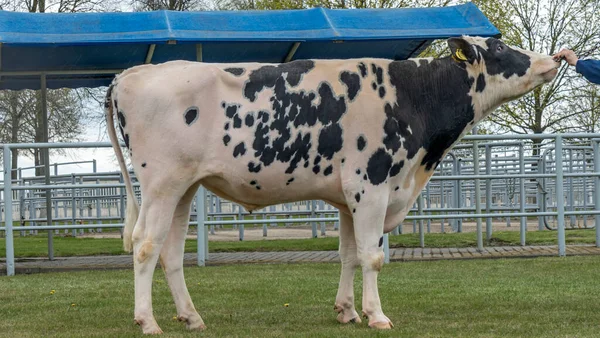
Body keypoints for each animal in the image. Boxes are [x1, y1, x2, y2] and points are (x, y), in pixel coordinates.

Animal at [105, 36, 560, 332]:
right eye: (499, 49)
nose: (554, 59)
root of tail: (132, 73)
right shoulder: (371, 185)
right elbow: (372, 256)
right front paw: (377, 316)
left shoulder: (347, 198)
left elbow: (348, 256)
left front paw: (347, 311)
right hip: (161, 182)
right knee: (145, 244)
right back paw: (148, 321)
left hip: (184, 187)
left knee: (170, 252)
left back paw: (191, 317)